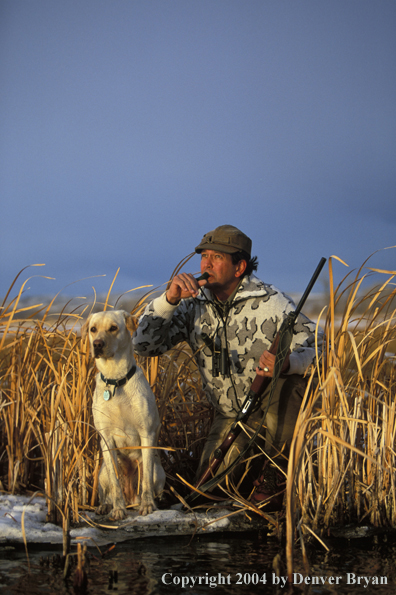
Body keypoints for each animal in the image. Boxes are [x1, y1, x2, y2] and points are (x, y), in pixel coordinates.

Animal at [83, 310, 165, 520]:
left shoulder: (146, 433)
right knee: (108, 491)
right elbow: (115, 483)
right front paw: (118, 509)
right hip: (102, 471)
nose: (97, 344)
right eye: (93, 329)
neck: (116, 380)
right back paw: (106, 506)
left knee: (149, 482)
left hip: (159, 471)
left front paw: (148, 505)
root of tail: (131, 499)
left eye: (113, 328)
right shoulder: (106, 437)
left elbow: (146, 481)